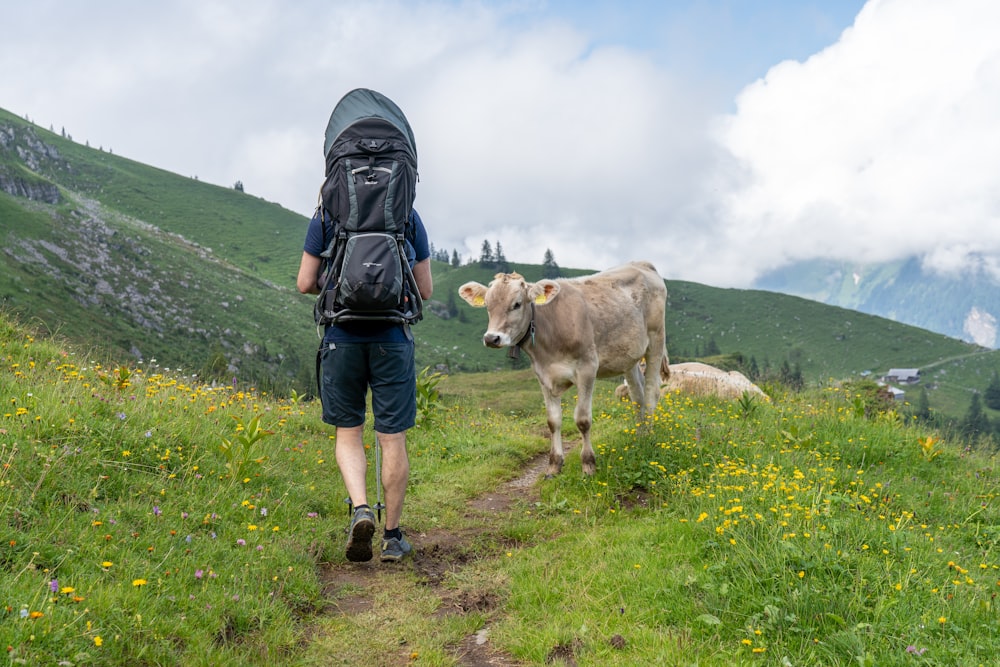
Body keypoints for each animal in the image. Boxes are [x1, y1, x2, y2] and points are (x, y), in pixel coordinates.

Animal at [460, 264, 672, 478]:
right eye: (487, 305)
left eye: (517, 304)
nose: (491, 338)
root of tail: (640, 264)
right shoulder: (543, 375)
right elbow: (553, 421)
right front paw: (554, 465)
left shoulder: (588, 368)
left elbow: (583, 419)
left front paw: (588, 464)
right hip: (629, 357)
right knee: (637, 395)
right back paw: (641, 435)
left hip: (656, 339)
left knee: (651, 392)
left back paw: (649, 437)